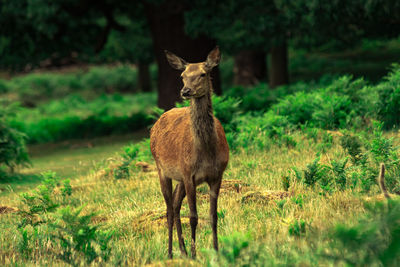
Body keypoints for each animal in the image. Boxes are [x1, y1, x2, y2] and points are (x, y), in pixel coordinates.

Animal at [150, 46, 230, 260]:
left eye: (203, 74)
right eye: (183, 76)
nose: (185, 91)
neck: (206, 152)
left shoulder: (217, 175)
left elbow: (213, 215)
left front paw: (216, 250)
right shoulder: (189, 174)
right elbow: (193, 216)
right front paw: (195, 254)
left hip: (180, 178)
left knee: (176, 205)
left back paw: (182, 250)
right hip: (162, 169)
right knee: (169, 208)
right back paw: (171, 252)